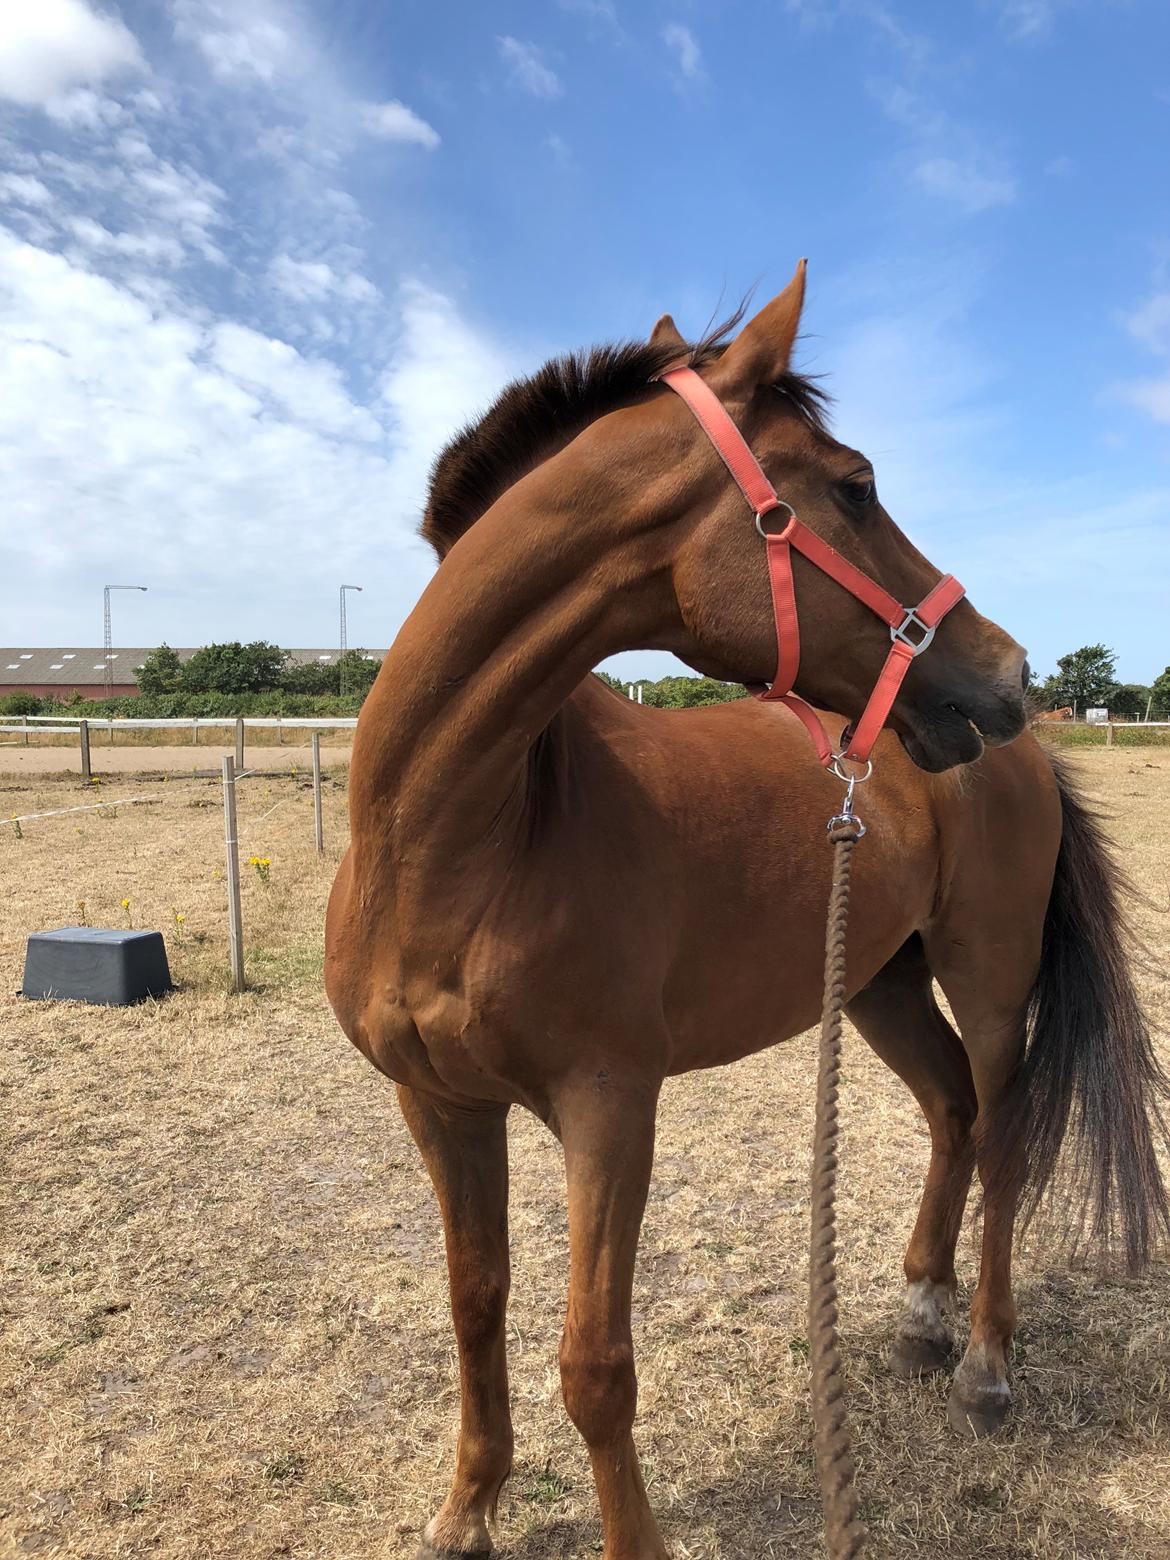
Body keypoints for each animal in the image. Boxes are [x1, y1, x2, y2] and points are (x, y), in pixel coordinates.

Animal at [322, 265, 1170, 1560]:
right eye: (856, 485)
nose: (1010, 671)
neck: (463, 839)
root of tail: (1023, 756)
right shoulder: (439, 1104)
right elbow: (474, 1306)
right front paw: (467, 1512)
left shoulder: (611, 1108)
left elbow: (595, 1364)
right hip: (878, 983)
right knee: (953, 1111)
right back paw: (923, 1314)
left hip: (987, 975)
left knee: (1005, 1136)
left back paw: (985, 1364)